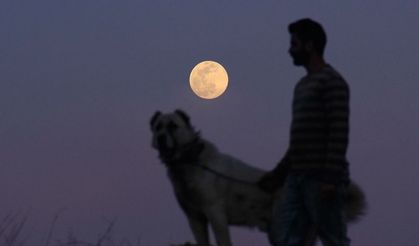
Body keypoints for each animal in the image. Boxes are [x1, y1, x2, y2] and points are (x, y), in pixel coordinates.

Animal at [151, 110, 368, 246]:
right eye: (158, 127)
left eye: (173, 126)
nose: (160, 138)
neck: (191, 160)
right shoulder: (194, 217)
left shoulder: (216, 214)